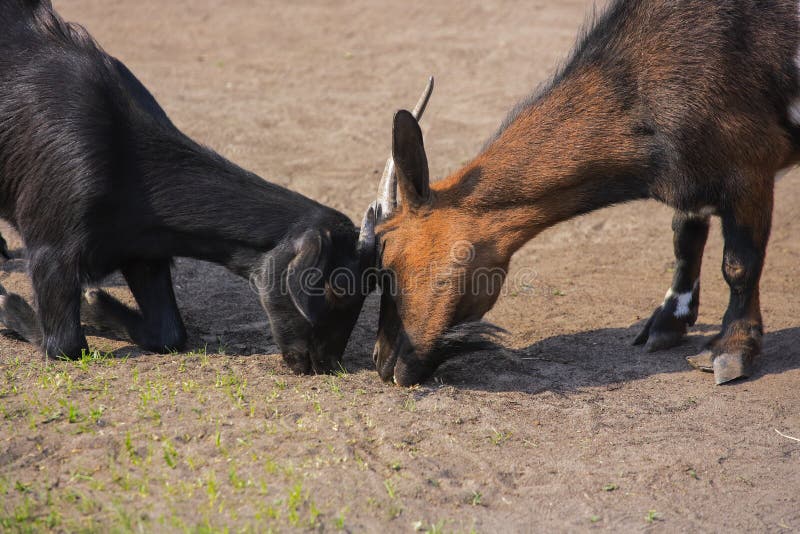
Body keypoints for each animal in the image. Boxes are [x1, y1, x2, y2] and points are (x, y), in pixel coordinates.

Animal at [0, 0, 376, 372]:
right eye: (336, 288)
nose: (324, 365)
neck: (127, 166)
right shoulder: (51, 252)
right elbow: (65, 346)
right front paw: (10, 308)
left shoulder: (144, 252)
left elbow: (169, 333)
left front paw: (97, 306)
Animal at [362, 0, 800, 388]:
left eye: (390, 261)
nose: (383, 363)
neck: (641, 82)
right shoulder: (693, 179)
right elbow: (685, 240)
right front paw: (666, 323)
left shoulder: (750, 168)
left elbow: (739, 264)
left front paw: (730, 351)